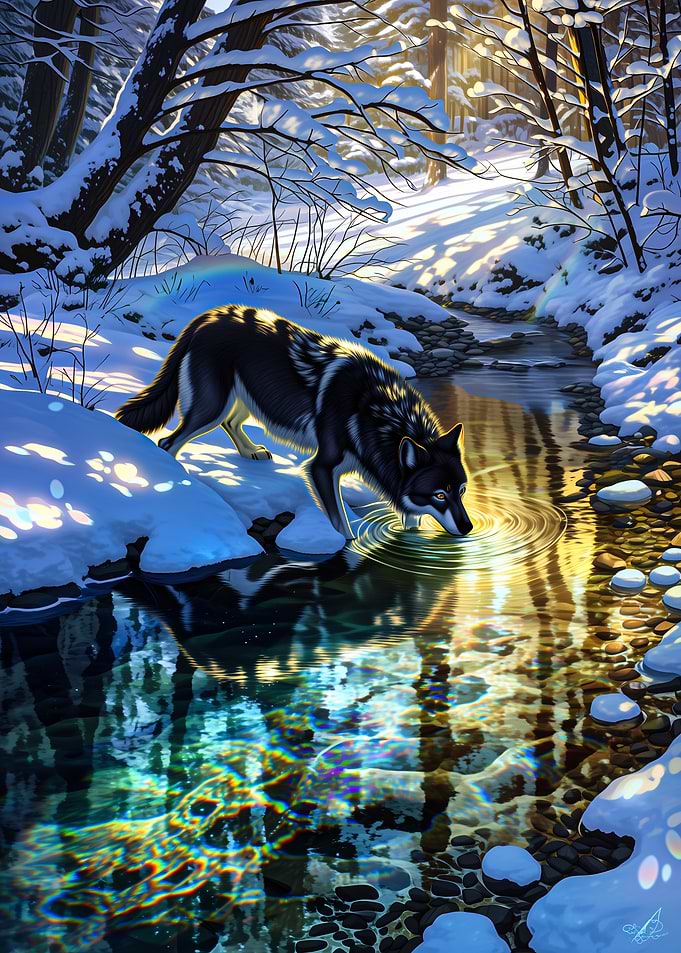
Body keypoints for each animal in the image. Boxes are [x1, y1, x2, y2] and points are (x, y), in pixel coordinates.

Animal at [115, 305, 473, 539]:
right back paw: (177, 475)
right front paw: (348, 545)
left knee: (229, 425)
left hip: (249, 401)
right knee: (168, 441)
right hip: (212, 407)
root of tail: (209, 315)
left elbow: (410, 517)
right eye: (440, 496)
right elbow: (341, 524)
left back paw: (251, 453)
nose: (469, 527)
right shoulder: (321, 467)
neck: (374, 410)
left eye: (461, 491)